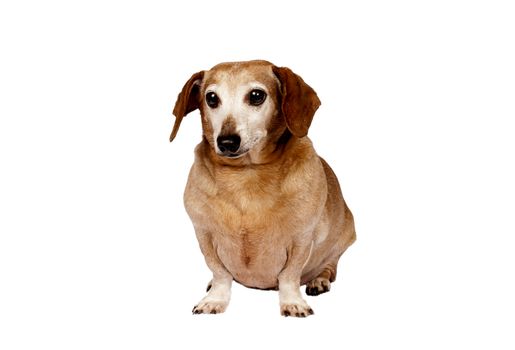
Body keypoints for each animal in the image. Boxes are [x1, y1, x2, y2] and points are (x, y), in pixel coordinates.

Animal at [171, 60, 356, 318]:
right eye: (211, 98)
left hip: (343, 238)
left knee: (330, 266)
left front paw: (292, 302)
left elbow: (289, 275)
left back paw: (319, 280)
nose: (227, 142)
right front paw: (215, 298)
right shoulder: (204, 234)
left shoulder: (301, 238)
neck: (247, 173)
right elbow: (220, 273)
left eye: (257, 95)